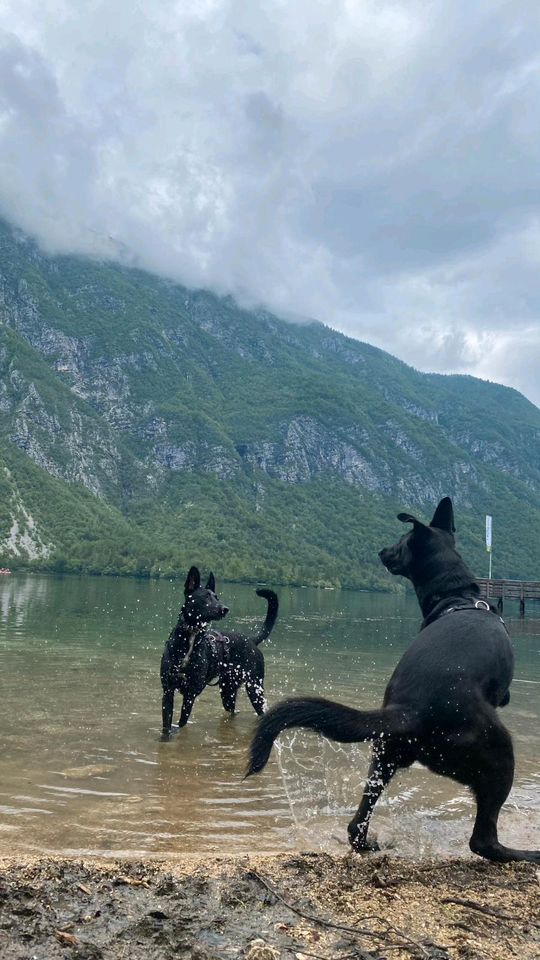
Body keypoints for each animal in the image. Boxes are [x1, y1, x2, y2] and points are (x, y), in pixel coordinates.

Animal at [160, 568, 278, 740]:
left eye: (217, 597)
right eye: (205, 597)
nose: (225, 609)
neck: (190, 639)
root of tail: (251, 640)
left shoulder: (190, 695)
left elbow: (182, 721)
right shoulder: (168, 690)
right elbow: (166, 724)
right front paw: (165, 739)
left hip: (255, 688)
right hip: (228, 691)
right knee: (232, 712)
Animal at [247, 498, 536, 868]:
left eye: (398, 543)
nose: (381, 551)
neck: (457, 597)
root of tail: (408, 711)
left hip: (384, 758)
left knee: (356, 825)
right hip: (499, 757)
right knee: (483, 841)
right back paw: (526, 854)